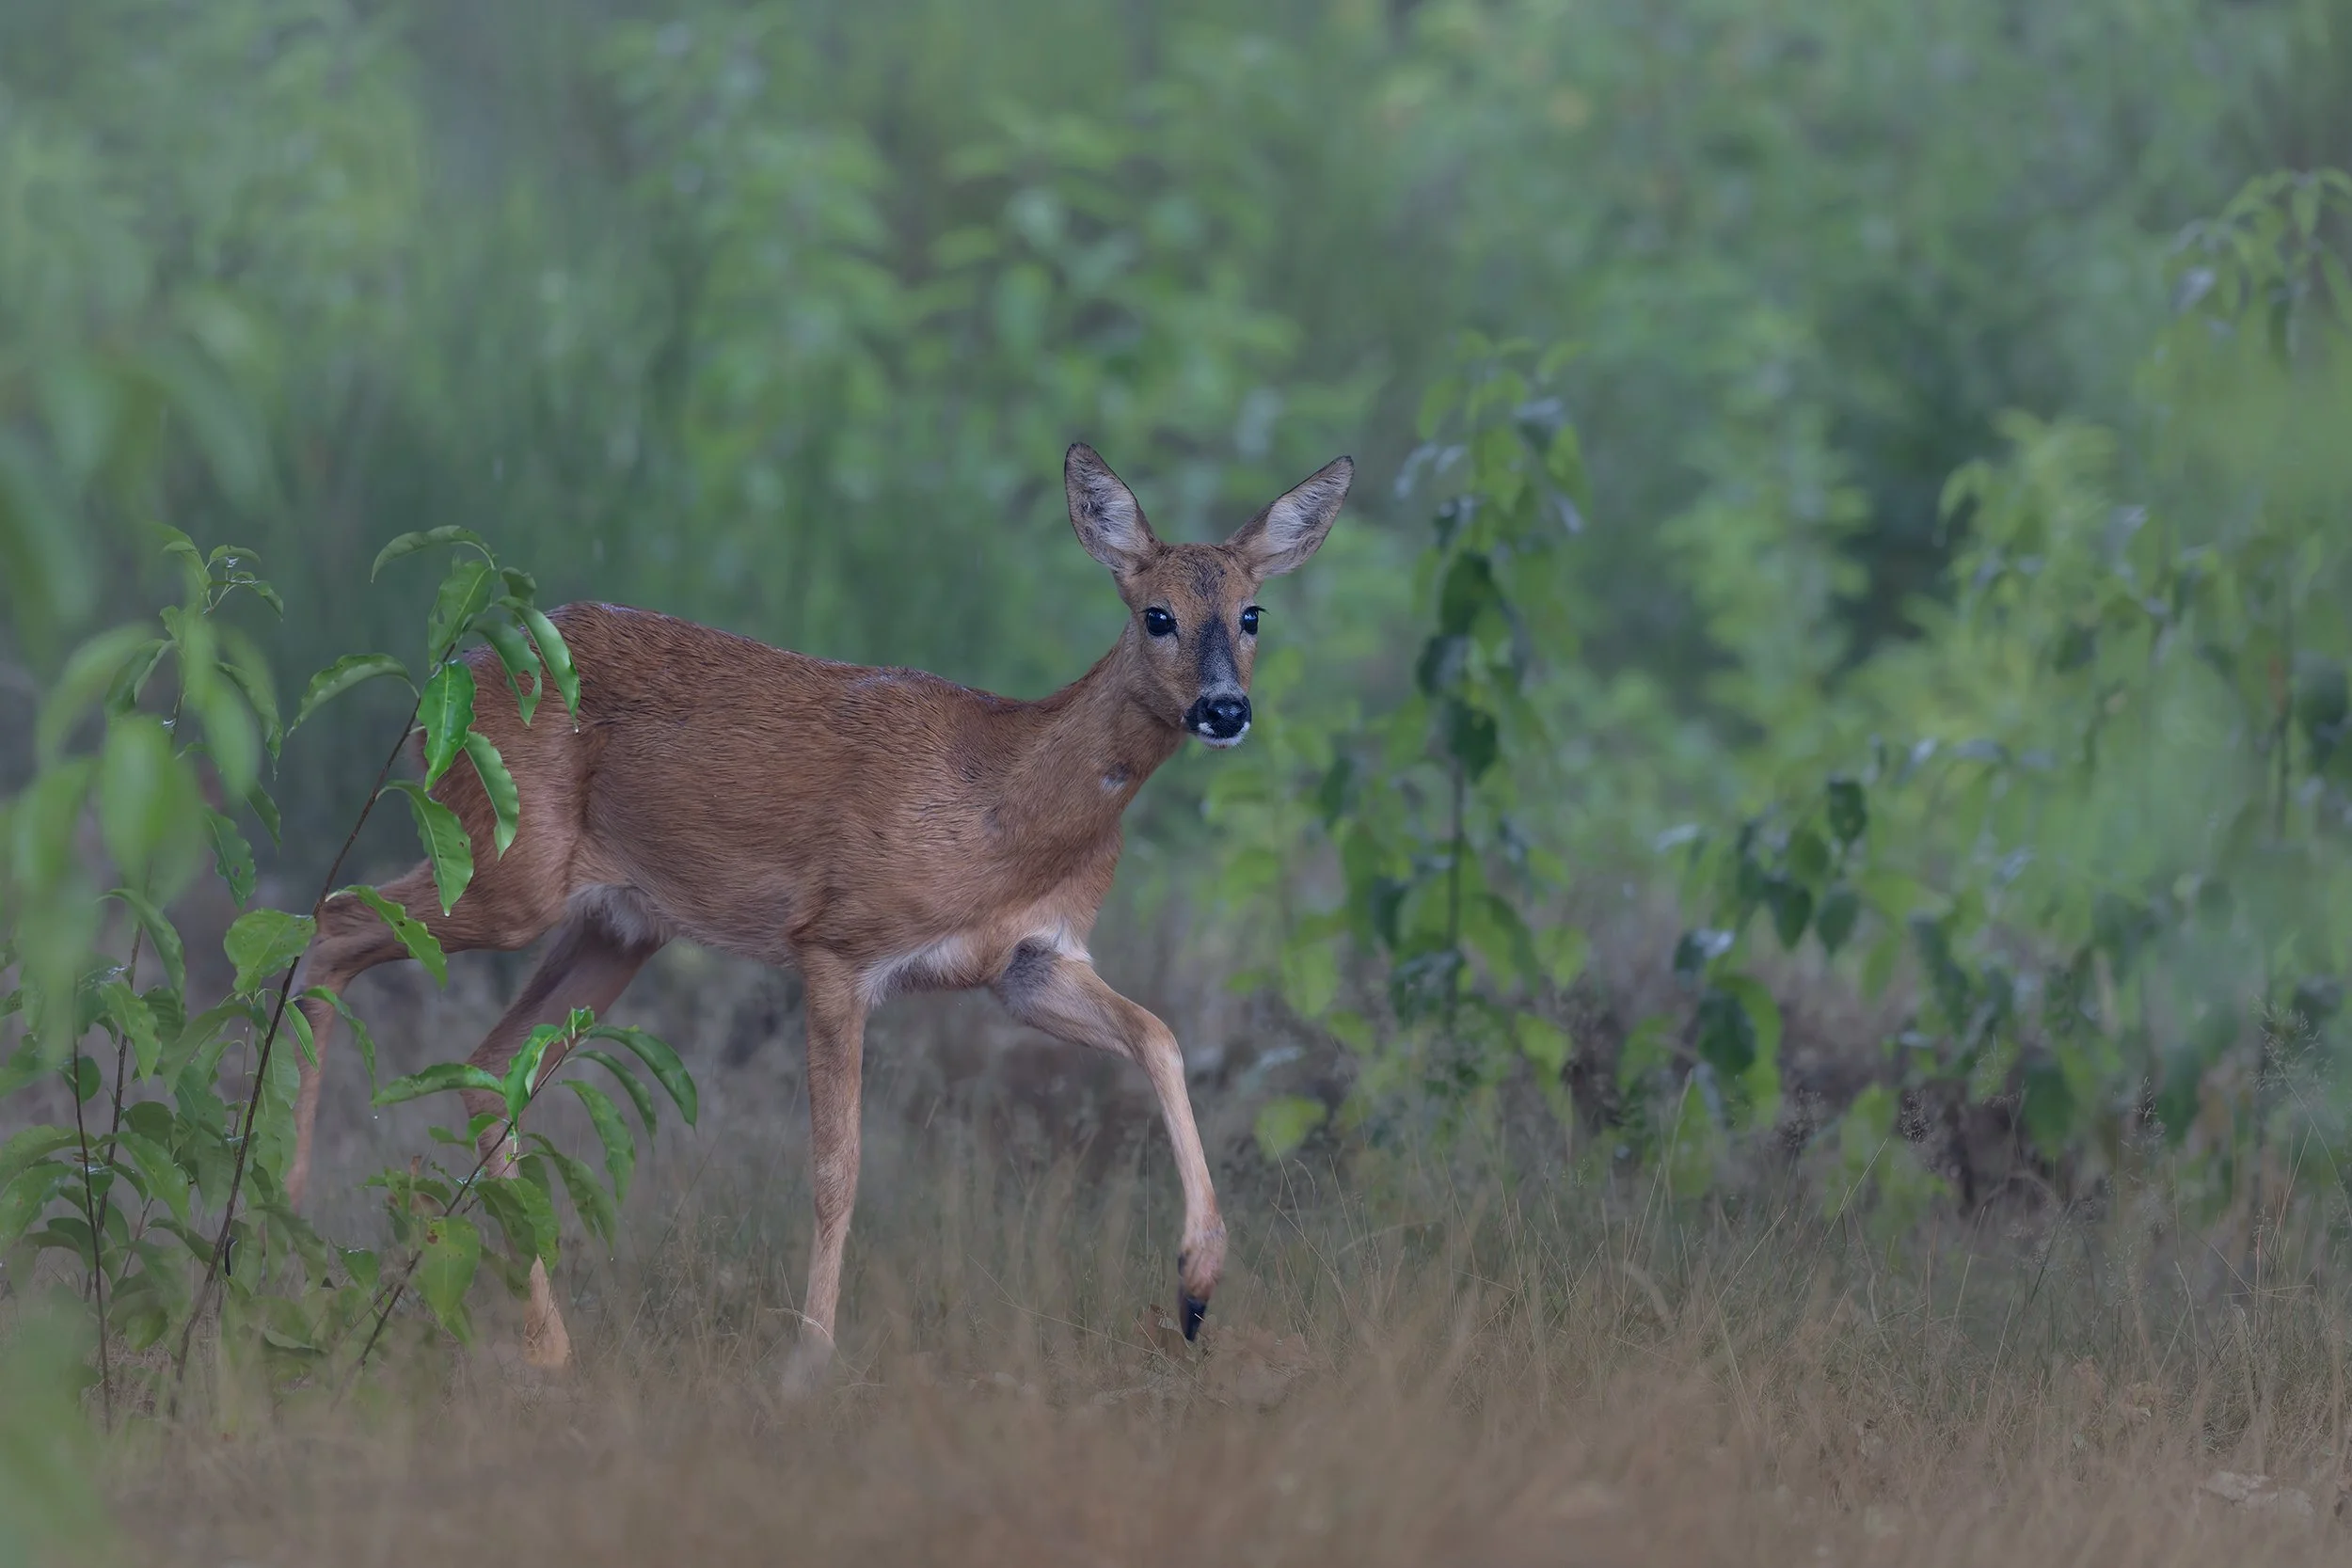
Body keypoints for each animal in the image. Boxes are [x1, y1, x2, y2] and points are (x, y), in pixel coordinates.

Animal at [285, 443, 1354, 1380]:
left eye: (1252, 612)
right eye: (1156, 613)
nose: (1223, 709)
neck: (1005, 803)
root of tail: (454, 670)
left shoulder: (1031, 962)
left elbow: (1161, 1036)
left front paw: (1196, 1286)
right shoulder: (838, 943)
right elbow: (837, 1168)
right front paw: (808, 1360)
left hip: (617, 922)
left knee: (488, 1057)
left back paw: (545, 1347)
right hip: (508, 867)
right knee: (327, 922)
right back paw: (288, 1236)